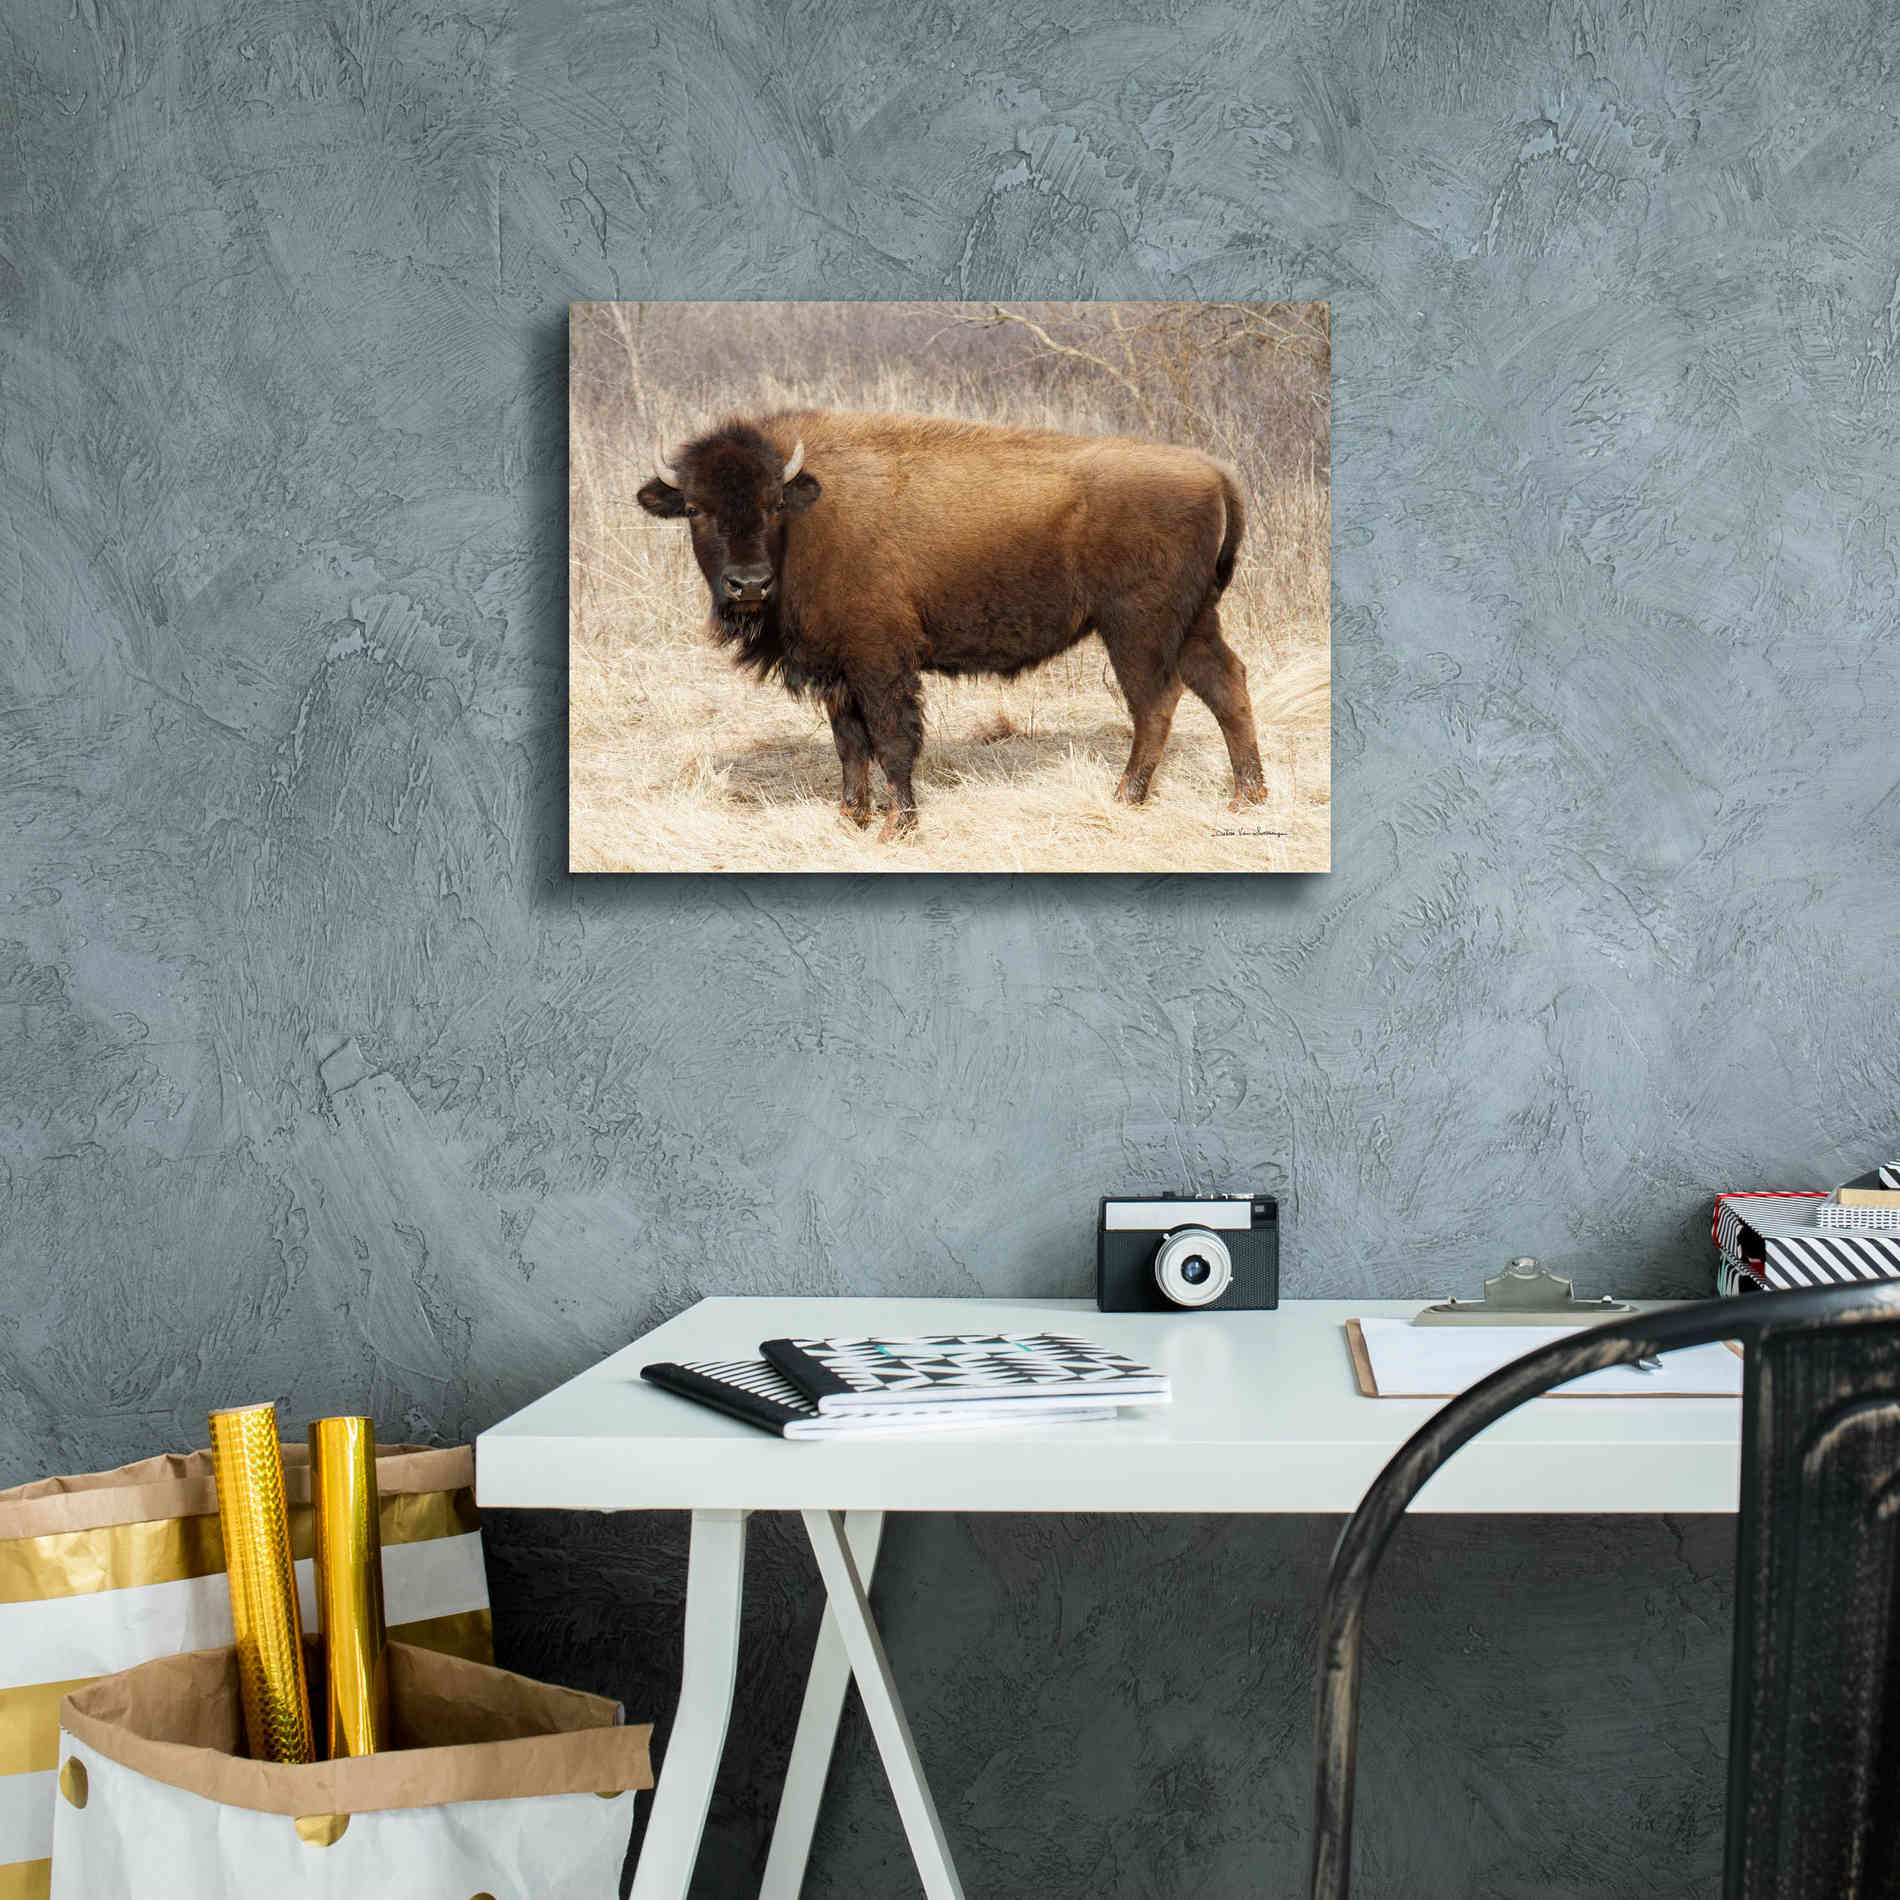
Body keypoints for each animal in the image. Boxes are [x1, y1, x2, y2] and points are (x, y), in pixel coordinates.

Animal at [636, 410, 1268, 840]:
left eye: (773, 505)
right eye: (694, 508)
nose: (748, 585)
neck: (808, 517)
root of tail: (1214, 472)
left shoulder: (879, 662)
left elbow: (891, 740)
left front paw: (897, 826)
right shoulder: (838, 672)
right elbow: (849, 745)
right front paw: (850, 818)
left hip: (1137, 629)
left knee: (1157, 703)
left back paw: (1126, 798)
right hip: (1193, 623)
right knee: (1227, 685)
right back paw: (1247, 798)